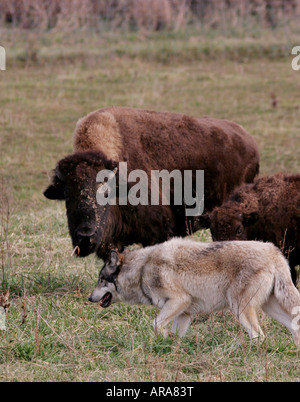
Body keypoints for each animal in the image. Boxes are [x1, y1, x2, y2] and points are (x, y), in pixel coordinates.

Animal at [88, 239, 300, 346]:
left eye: (100, 281)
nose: (89, 298)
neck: (141, 270)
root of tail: (274, 252)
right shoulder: (184, 313)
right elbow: (174, 335)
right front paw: (171, 345)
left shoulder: (179, 301)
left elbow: (155, 324)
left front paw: (165, 336)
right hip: (269, 308)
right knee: (292, 327)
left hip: (239, 308)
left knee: (258, 336)